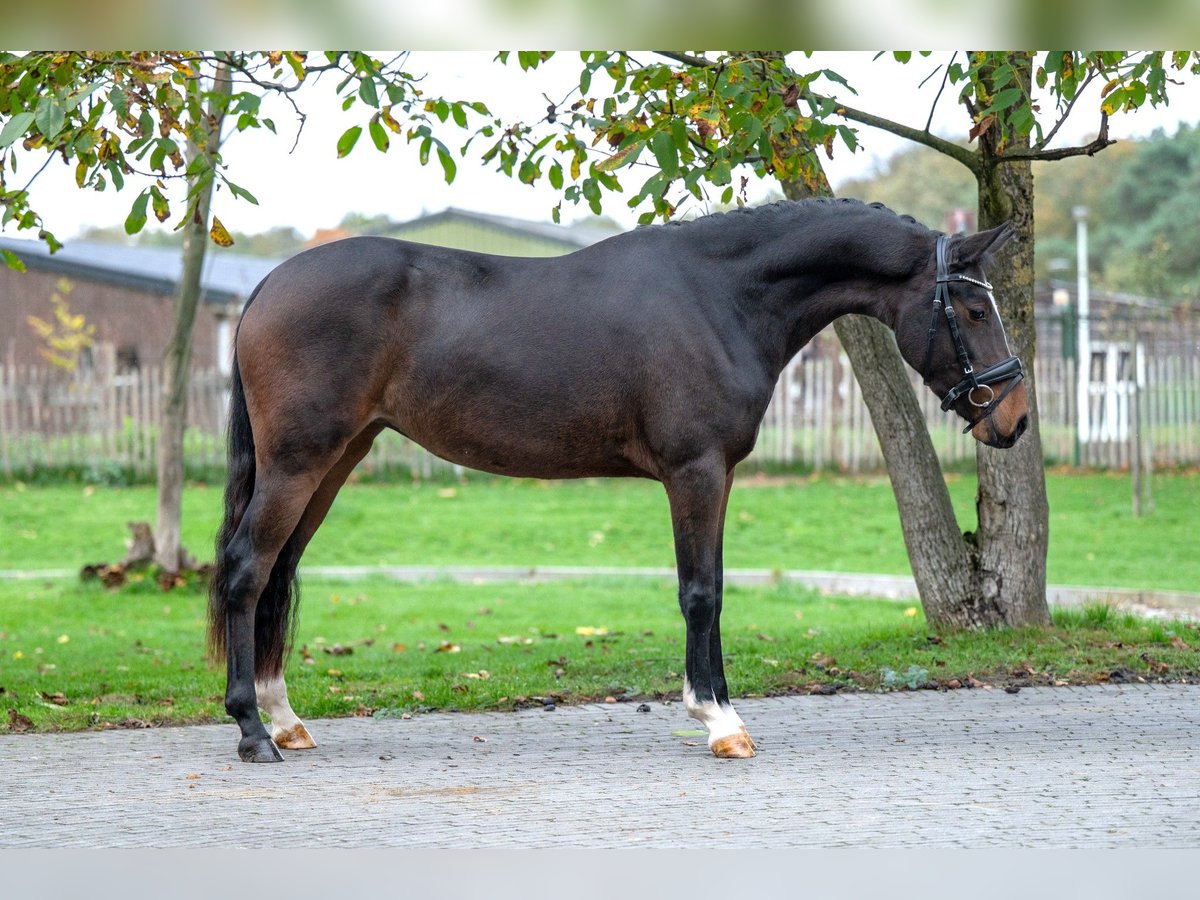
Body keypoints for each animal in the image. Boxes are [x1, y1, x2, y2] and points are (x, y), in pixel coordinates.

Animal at [208, 198, 1030, 763]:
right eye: (972, 306)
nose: (1015, 419)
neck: (719, 296)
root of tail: (269, 284)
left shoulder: (716, 475)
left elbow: (714, 587)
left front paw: (722, 711)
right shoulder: (695, 472)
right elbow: (700, 592)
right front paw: (718, 722)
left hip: (335, 459)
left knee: (279, 572)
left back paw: (286, 719)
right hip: (300, 461)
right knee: (249, 569)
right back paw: (253, 730)